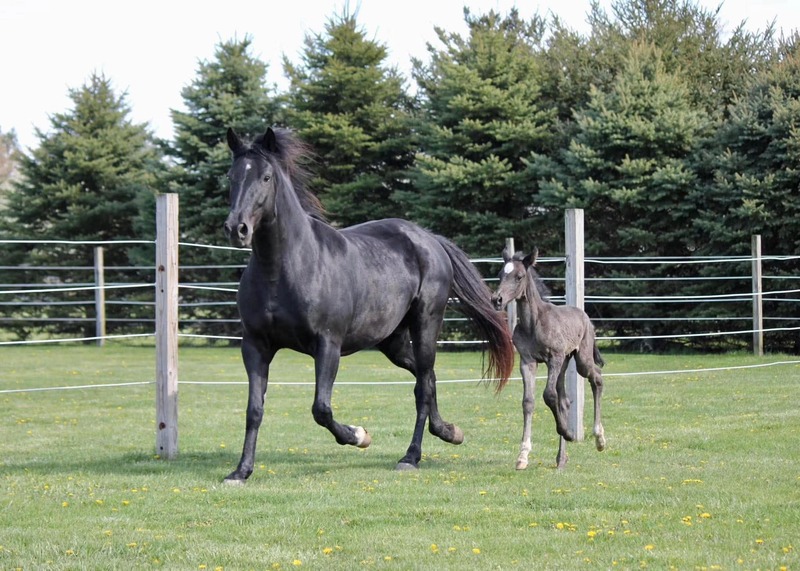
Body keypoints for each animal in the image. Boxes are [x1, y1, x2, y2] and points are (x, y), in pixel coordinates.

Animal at [221, 126, 515, 483]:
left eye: (265, 177)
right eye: (231, 177)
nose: (237, 228)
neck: (286, 269)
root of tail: (429, 239)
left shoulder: (328, 345)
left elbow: (321, 409)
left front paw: (359, 435)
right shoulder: (256, 346)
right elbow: (254, 409)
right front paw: (240, 472)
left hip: (426, 324)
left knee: (423, 386)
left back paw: (411, 456)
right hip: (392, 342)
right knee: (426, 379)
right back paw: (449, 431)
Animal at [491, 246, 606, 469]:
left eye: (519, 276)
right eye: (500, 275)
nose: (496, 300)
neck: (533, 324)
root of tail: (585, 317)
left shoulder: (554, 357)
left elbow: (548, 395)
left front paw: (568, 433)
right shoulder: (527, 361)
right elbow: (529, 401)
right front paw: (523, 455)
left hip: (580, 360)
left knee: (596, 378)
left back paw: (599, 438)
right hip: (565, 363)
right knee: (565, 400)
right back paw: (561, 459)